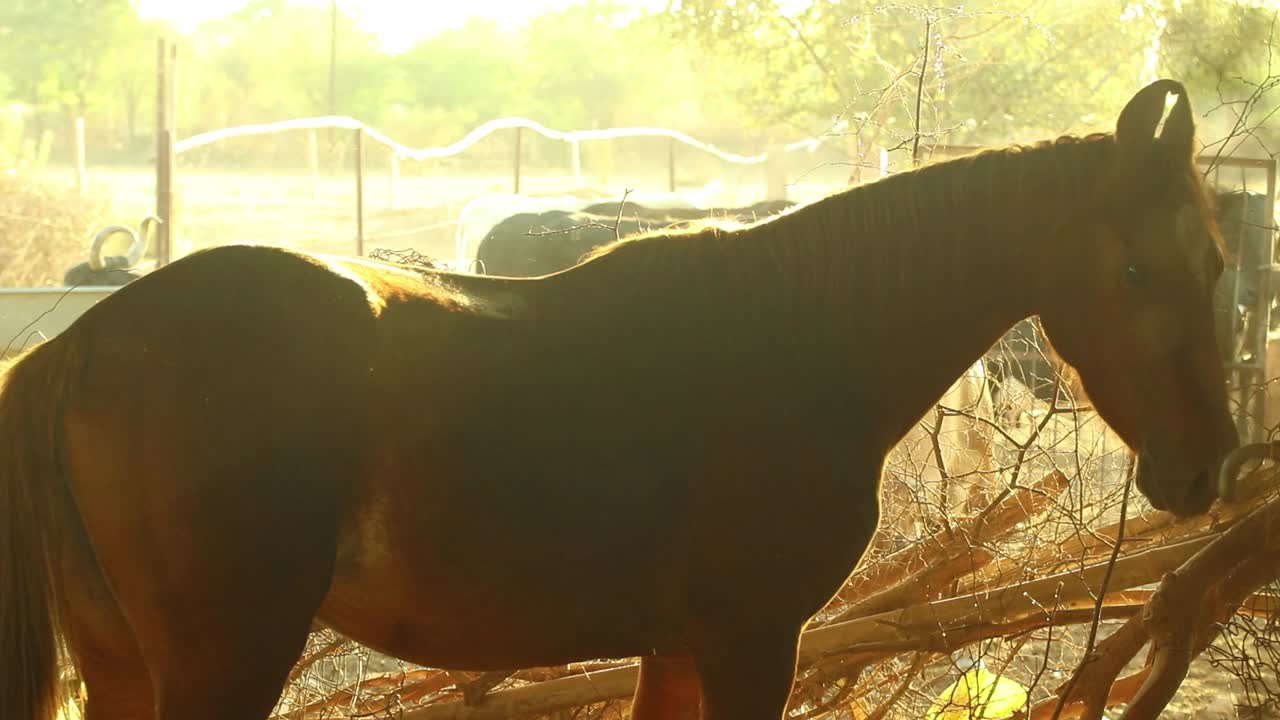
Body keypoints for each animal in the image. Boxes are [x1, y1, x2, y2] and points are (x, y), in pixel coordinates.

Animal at [0, 79, 1238, 720]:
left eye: (1220, 261)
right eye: (1138, 270)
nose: (1204, 465)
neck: (799, 344)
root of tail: (92, 339)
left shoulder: (677, 650)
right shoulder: (749, 643)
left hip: (123, 669)